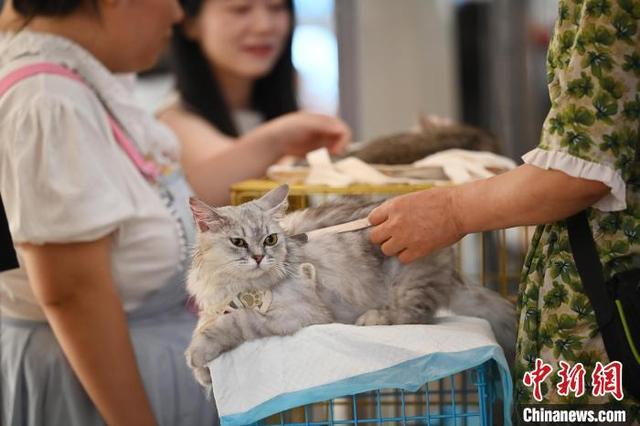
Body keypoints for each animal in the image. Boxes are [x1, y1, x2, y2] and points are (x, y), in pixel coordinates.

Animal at [185, 185, 516, 392]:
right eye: (238, 242)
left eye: (270, 239)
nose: (258, 257)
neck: (242, 287)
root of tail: (451, 268)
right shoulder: (218, 305)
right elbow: (205, 324)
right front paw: (202, 372)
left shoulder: (299, 313)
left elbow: (237, 324)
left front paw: (199, 354)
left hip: (408, 282)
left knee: (415, 315)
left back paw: (373, 318)